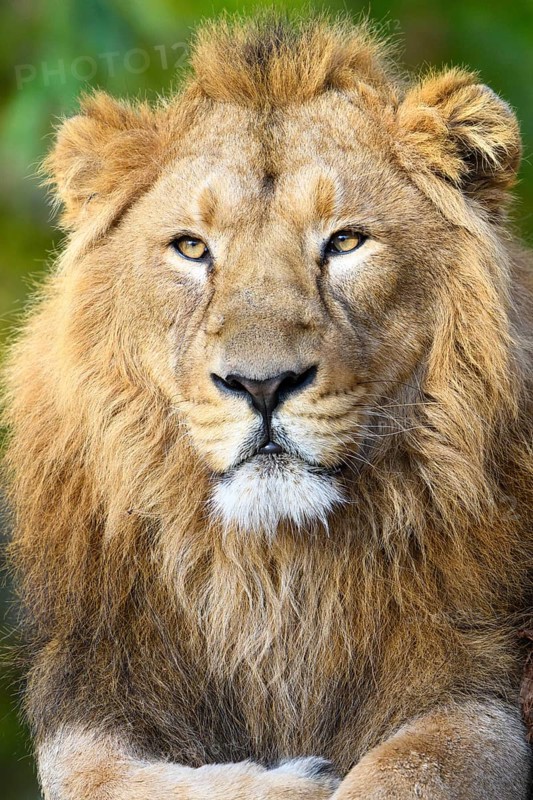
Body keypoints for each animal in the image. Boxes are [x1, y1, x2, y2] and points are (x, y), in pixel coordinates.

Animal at [3, 13, 533, 800]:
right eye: (192, 248)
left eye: (345, 241)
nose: (261, 385)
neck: (275, 572)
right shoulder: (94, 699)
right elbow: (108, 781)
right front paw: (293, 782)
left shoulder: (478, 681)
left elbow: (411, 770)